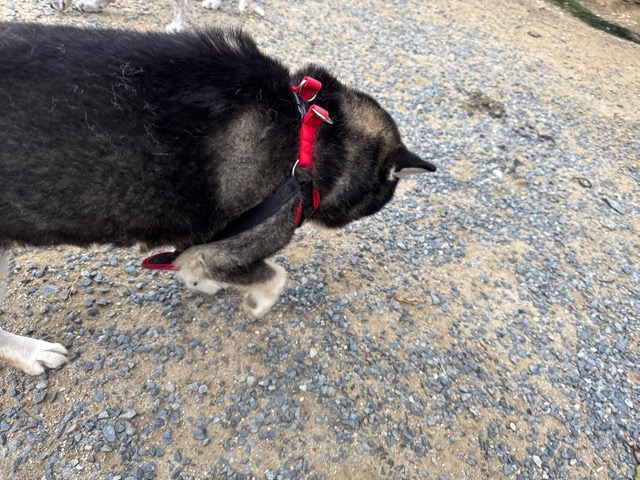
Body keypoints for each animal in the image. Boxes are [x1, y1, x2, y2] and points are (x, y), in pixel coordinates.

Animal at [0, 22, 436, 375]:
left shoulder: (202, 244)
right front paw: (256, 304)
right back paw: (32, 353)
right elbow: (275, 275)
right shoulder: (233, 245)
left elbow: (193, 264)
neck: (311, 136)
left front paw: (198, 281)